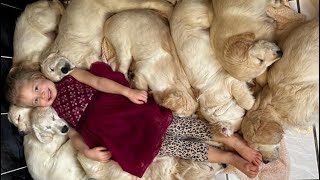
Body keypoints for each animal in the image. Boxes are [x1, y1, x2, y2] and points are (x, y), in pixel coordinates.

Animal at [170, 0, 255, 136]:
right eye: (237, 128)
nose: (227, 132)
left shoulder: (229, 82)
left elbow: (243, 100)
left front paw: (249, 103)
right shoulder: (231, 81)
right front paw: (251, 101)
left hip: (197, 14)